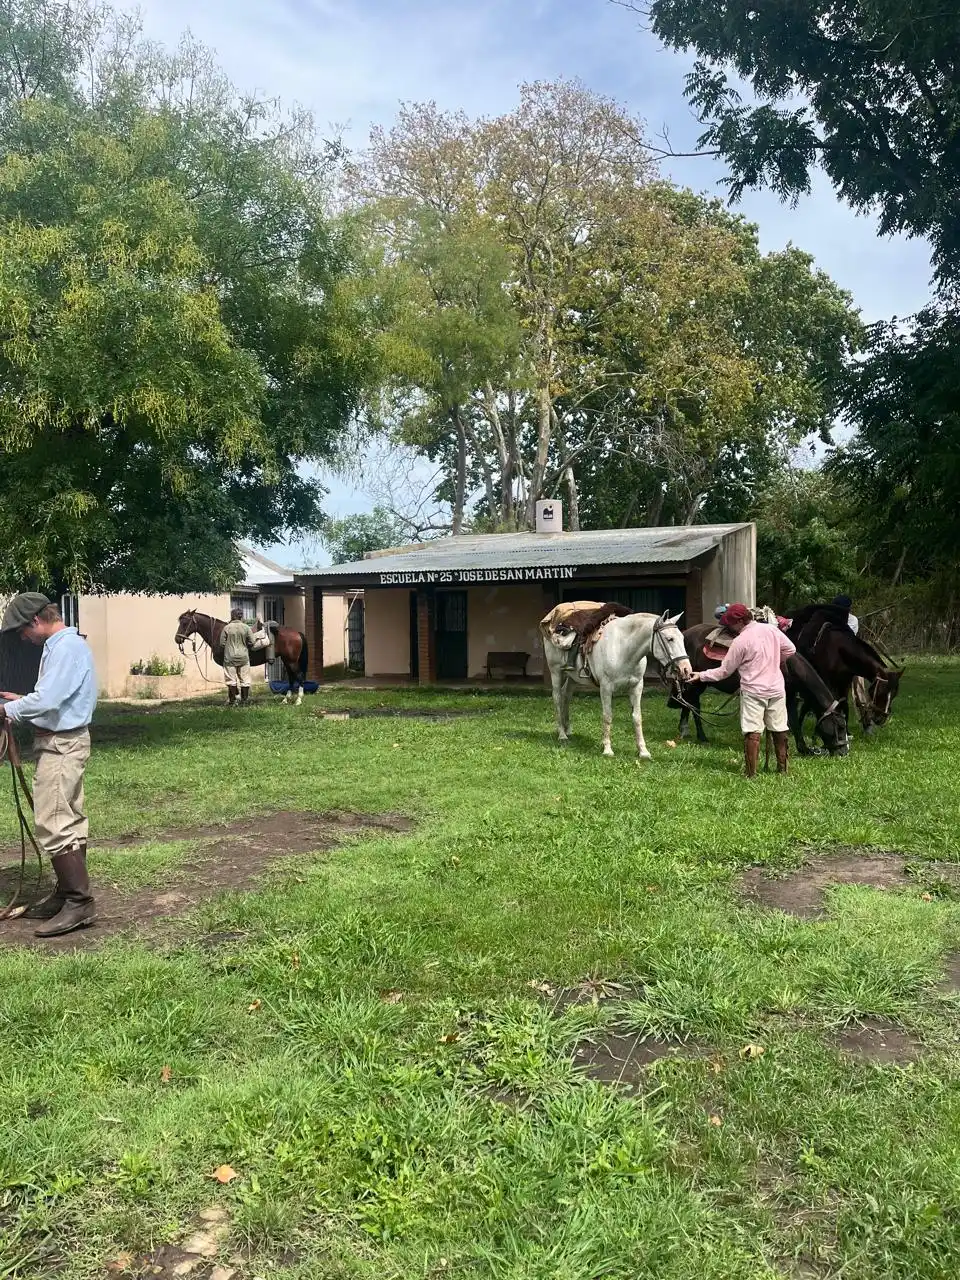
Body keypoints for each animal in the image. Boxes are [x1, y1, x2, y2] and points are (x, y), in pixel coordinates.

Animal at [174, 609, 309, 705]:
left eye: (185, 622)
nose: (177, 639)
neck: (218, 632)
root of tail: (297, 633)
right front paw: (236, 698)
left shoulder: (227, 664)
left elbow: (230, 682)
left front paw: (233, 699)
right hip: (287, 660)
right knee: (291, 678)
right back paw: (286, 699)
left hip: (291, 661)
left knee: (299, 676)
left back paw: (298, 700)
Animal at [540, 606, 692, 758]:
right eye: (669, 639)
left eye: (683, 638)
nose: (686, 669)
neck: (623, 648)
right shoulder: (606, 688)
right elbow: (607, 716)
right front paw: (607, 749)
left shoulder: (637, 687)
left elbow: (637, 718)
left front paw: (643, 751)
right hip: (556, 673)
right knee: (557, 698)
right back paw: (562, 734)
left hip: (572, 678)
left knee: (566, 697)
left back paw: (568, 730)